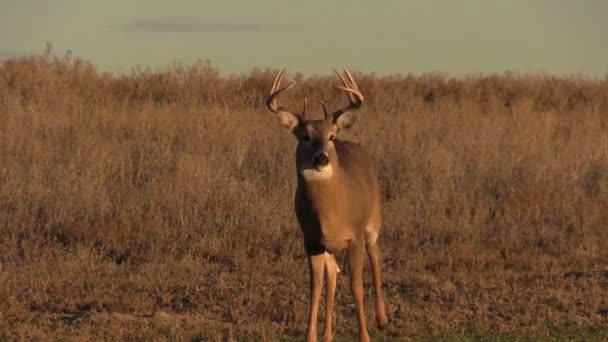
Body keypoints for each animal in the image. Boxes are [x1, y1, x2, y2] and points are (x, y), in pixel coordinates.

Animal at [264, 68, 388, 340]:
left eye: (330, 136)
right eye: (304, 136)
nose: (321, 158)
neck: (330, 212)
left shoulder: (355, 237)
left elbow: (356, 287)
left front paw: (364, 336)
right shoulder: (311, 240)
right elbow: (315, 288)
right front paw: (310, 336)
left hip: (373, 221)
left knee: (375, 254)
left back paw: (382, 318)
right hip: (329, 247)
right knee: (333, 274)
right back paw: (328, 334)